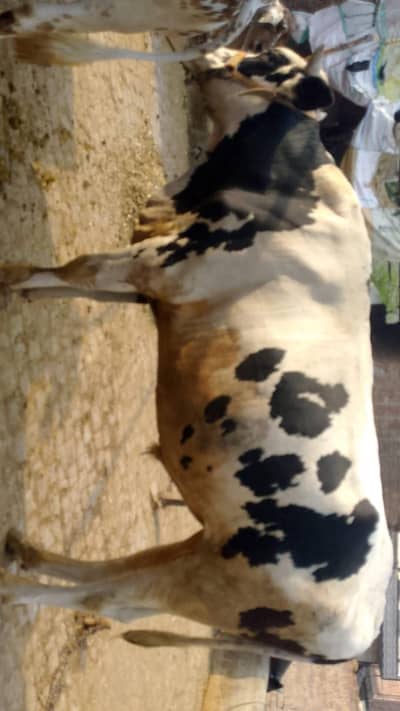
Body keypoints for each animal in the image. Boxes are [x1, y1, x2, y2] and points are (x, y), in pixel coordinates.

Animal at [0, 46, 393, 665]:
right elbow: (77, 281)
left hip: (211, 583)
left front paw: (7, 280)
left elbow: (81, 267)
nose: (215, 50)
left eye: (264, 61)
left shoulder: (165, 265)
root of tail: (364, 630)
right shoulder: (155, 284)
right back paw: (26, 552)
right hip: (207, 554)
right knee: (121, 581)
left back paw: (12, 587)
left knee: (107, 599)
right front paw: (29, 291)